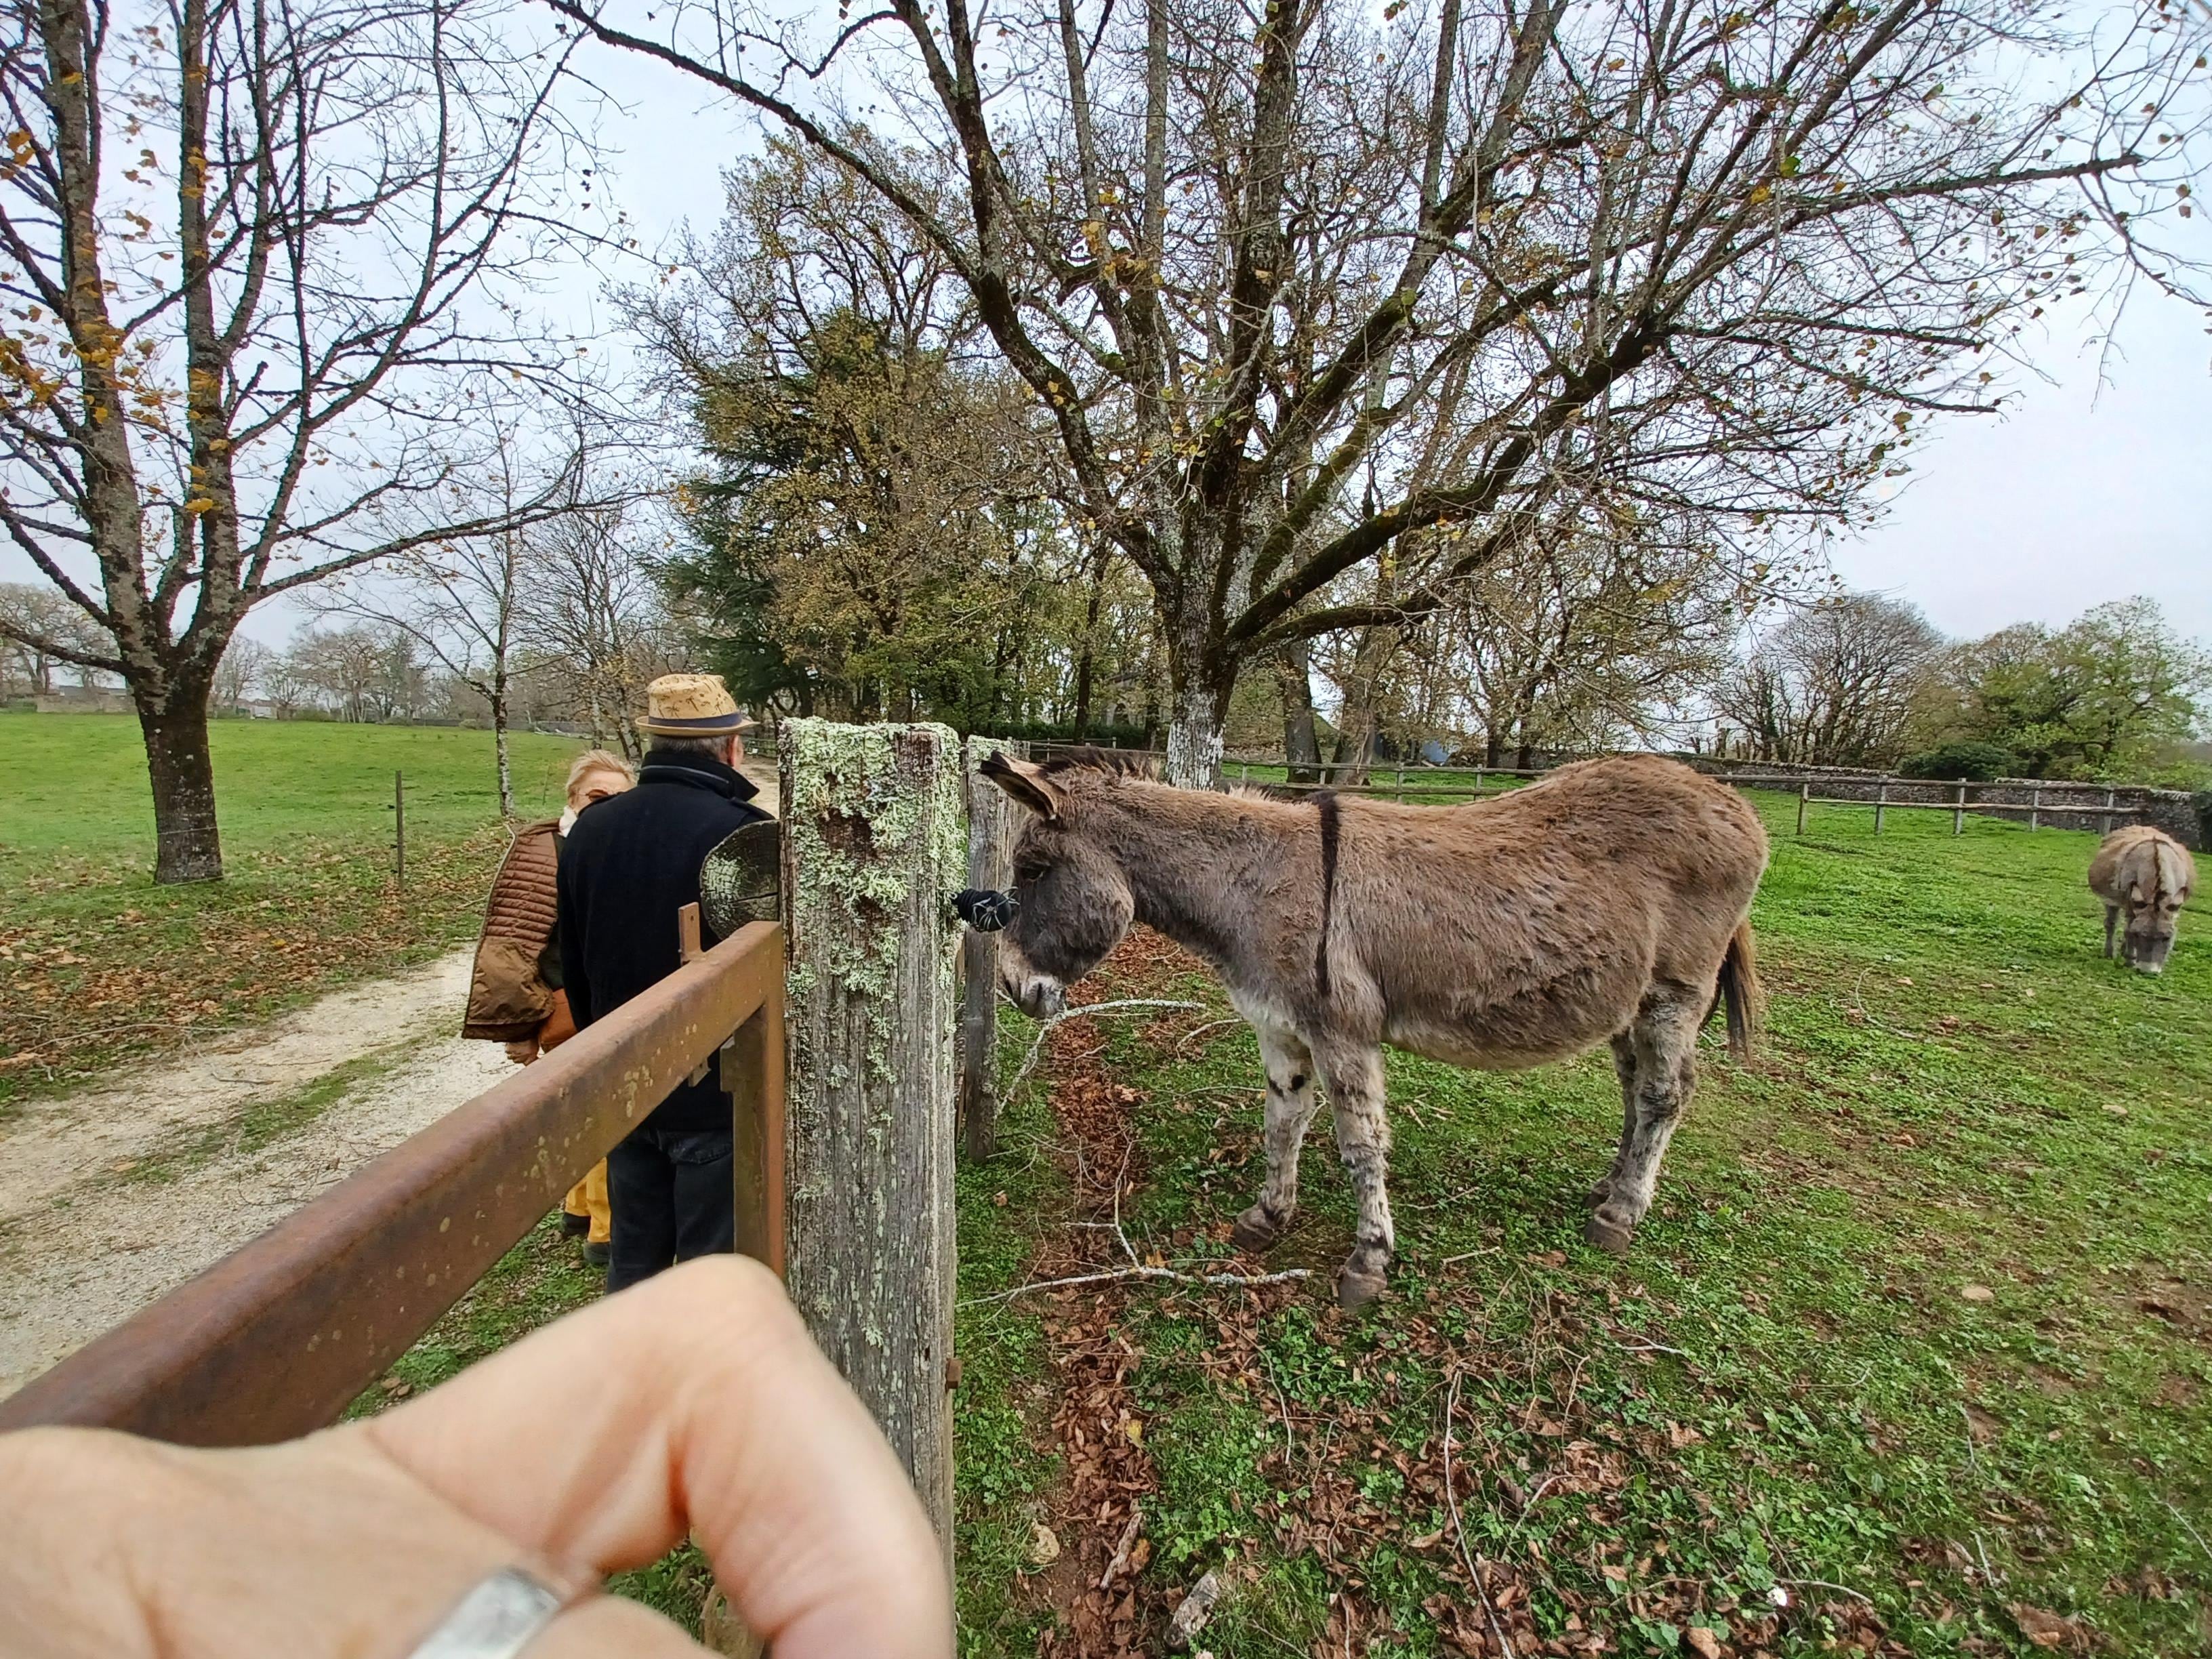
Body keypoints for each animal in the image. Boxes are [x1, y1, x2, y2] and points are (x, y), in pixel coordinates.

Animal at [979, 749, 1769, 1308]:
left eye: (1035, 868)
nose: (1013, 987)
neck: (1256, 886)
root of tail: (1734, 801)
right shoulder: (1279, 1029)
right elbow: (1282, 1124)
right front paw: (1268, 1216)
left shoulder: (1345, 1035)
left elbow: (1361, 1146)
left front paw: (1368, 1261)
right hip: (1625, 1000)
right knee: (1636, 1089)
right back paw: (1610, 1187)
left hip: (1675, 992)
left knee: (1666, 1094)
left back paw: (1621, 1216)